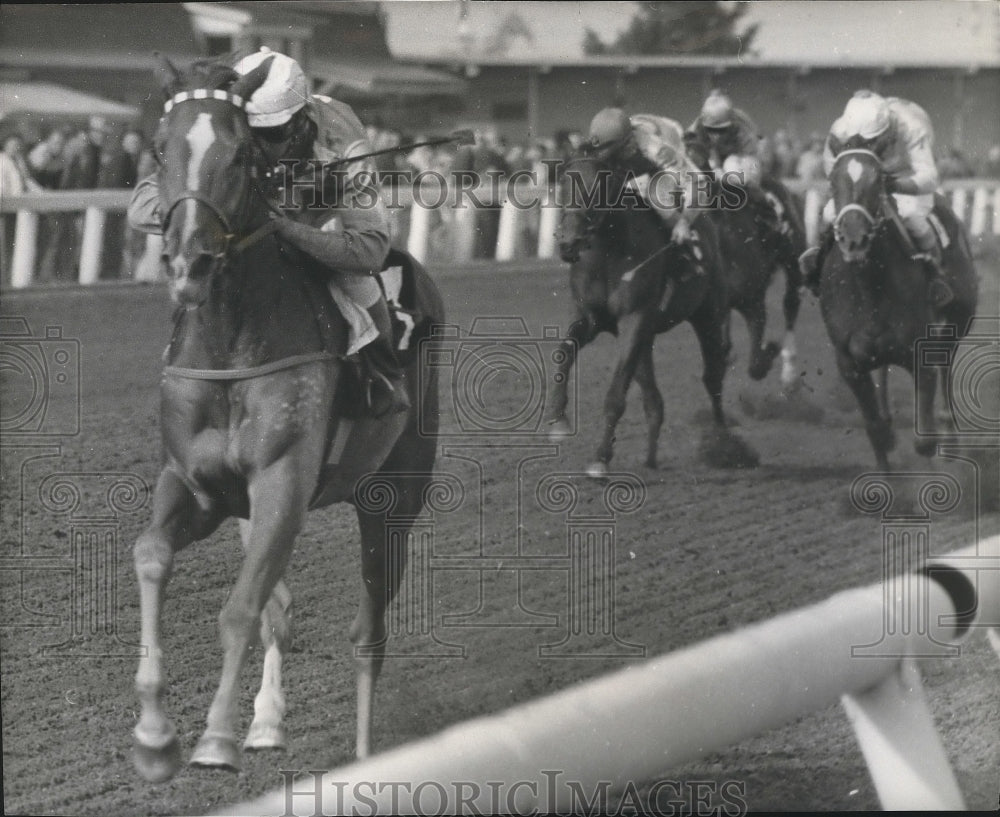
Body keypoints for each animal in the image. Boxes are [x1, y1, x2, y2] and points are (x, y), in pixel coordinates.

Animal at [131, 54, 444, 780]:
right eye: (160, 148)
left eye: (241, 152)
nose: (190, 259)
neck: (230, 342)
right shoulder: (201, 485)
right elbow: (153, 554)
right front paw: (155, 737)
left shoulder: (282, 479)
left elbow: (240, 609)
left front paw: (215, 738)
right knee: (283, 604)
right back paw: (268, 720)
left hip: (392, 501)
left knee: (369, 628)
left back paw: (363, 757)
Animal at [820, 143, 976, 468]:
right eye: (832, 181)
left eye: (877, 181)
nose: (853, 238)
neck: (868, 288)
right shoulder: (849, 364)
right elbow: (876, 431)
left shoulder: (920, 354)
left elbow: (924, 443)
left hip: (958, 317)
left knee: (946, 364)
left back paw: (950, 435)